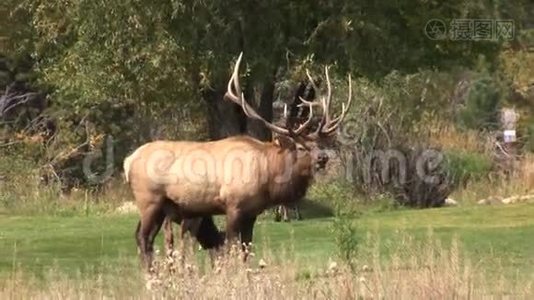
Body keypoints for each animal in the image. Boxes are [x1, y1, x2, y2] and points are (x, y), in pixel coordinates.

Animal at [123, 52, 354, 270]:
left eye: (320, 143)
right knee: (143, 237)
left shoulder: (252, 212)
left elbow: (246, 249)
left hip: (163, 207)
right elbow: (231, 247)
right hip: (149, 199)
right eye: (300, 147)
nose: (323, 157)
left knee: (146, 237)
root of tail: (128, 161)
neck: (266, 175)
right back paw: (151, 275)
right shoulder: (233, 205)